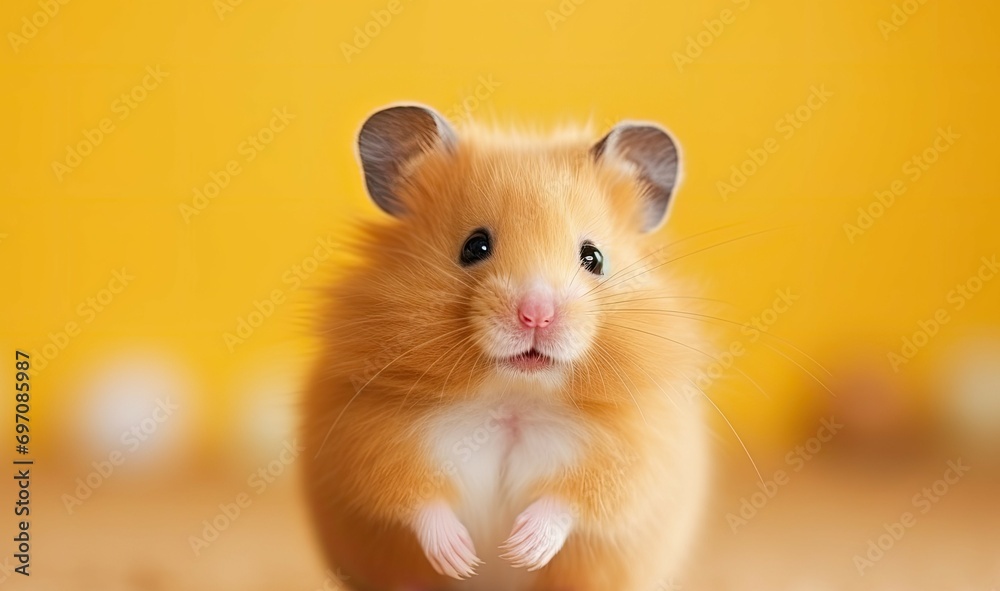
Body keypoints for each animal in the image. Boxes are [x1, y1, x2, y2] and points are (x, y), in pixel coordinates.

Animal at [304, 104, 712, 588]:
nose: (536, 314)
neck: (514, 398)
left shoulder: (628, 455)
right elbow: (418, 501)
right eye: (473, 246)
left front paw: (521, 549)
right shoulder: (373, 440)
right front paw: (463, 559)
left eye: (593, 258)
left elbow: (572, 502)